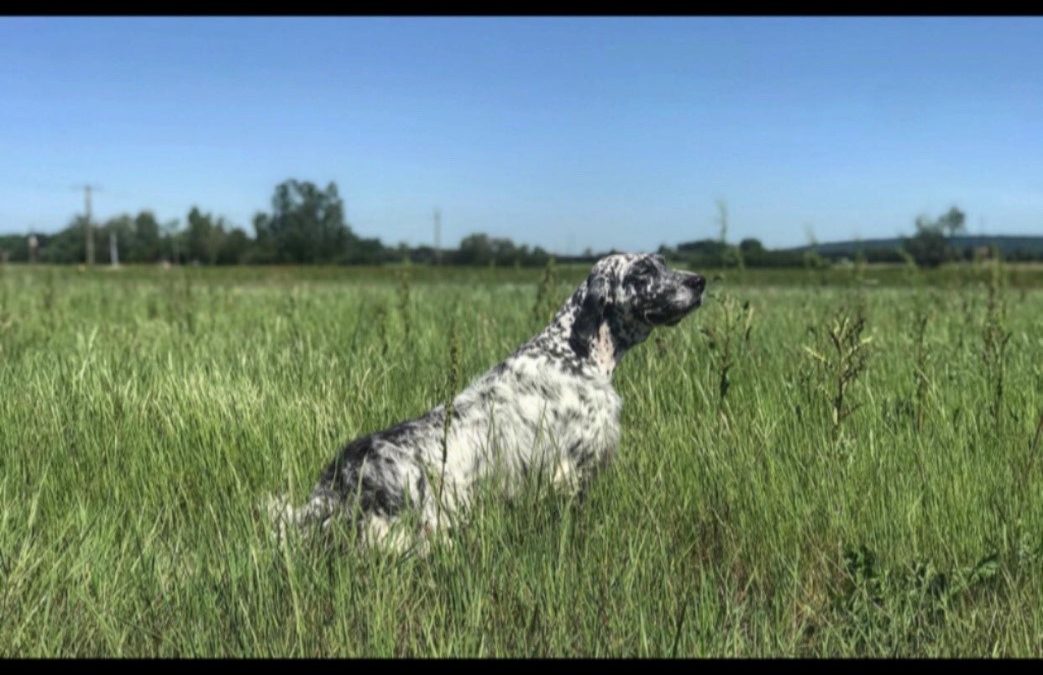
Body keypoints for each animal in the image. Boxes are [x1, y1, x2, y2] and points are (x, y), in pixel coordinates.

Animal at [269, 250, 709, 550]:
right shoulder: (569, 470)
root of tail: (337, 480)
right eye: (643, 271)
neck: (572, 353)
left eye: (663, 262)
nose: (700, 281)